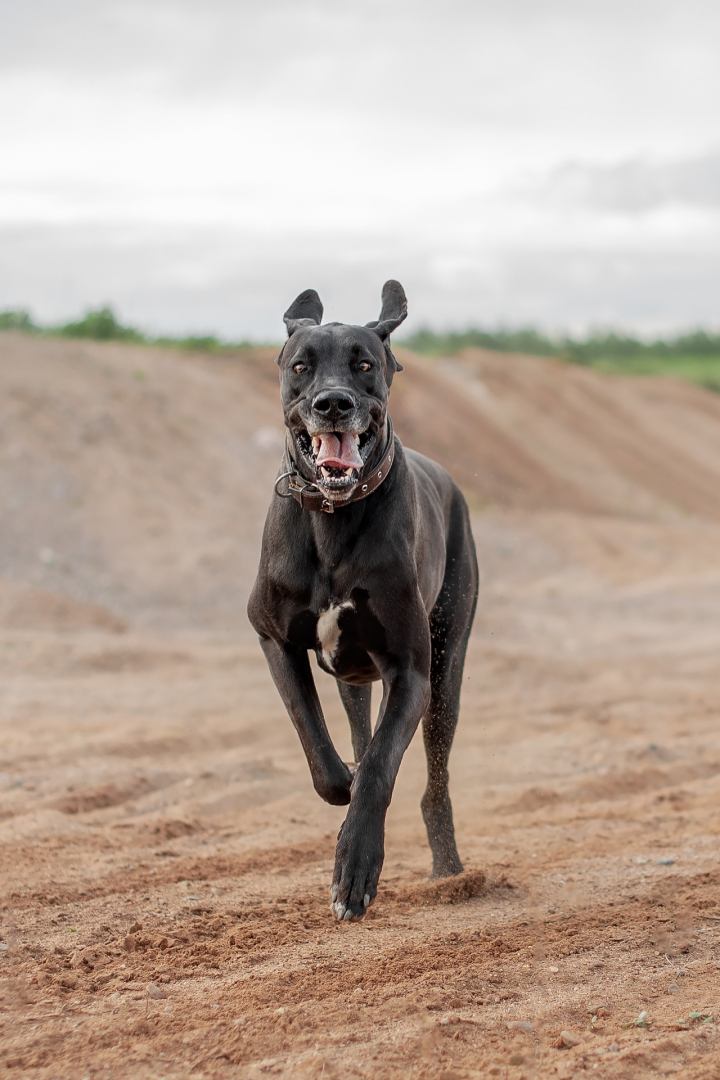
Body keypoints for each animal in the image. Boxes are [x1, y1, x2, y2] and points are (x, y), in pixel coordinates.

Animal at [248, 280, 479, 920]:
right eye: (301, 366)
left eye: (366, 365)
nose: (333, 404)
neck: (333, 515)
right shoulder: (272, 636)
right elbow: (318, 744)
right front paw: (342, 790)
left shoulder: (410, 670)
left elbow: (378, 768)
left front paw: (355, 869)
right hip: (356, 678)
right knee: (356, 732)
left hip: (446, 670)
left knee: (433, 781)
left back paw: (449, 870)